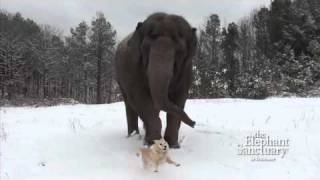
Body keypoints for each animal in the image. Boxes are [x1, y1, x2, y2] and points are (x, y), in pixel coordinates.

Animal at [114, 12, 196, 148]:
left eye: (180, 52)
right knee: (130, 104)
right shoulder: (133, 67)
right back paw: (133, 136)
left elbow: (180, 97)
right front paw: (153, 143)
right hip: (120, 78)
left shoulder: (187, 70)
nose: (194, 123)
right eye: (146, 48)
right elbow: (141, 98)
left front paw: (173, 145)